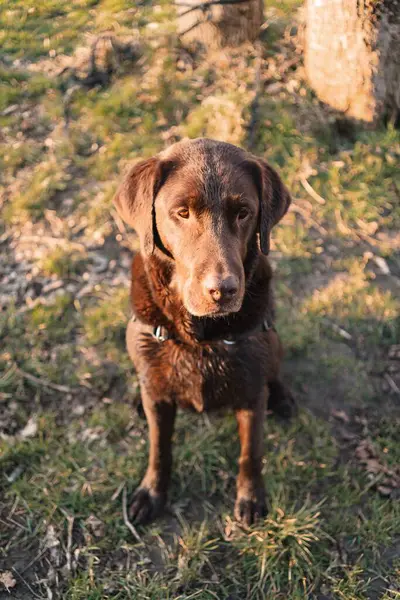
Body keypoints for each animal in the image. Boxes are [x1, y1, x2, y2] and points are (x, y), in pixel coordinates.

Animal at [114, 138, 296, 528]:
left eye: (243, 213)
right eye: (182, 212)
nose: (222, 290)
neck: (201, 337)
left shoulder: (250, 393)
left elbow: (250, 452)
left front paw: (250, 498)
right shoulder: (159, 399)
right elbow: (159, 448)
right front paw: (151, 493)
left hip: (273, 341)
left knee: (275, 371)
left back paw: (282, 397)